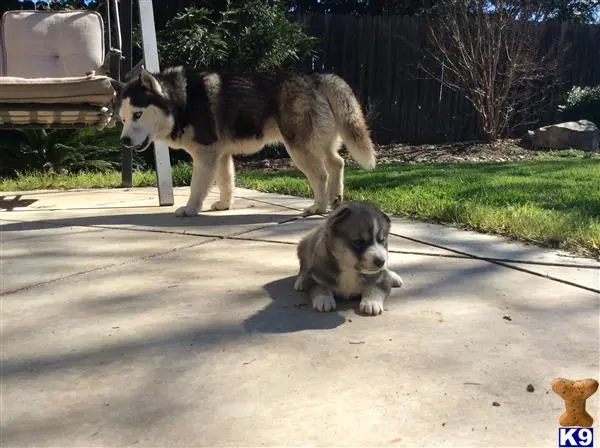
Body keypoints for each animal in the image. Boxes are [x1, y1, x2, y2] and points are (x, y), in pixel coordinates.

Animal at [113, 67, 376, 219]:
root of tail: (319, 77)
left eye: (138, 114)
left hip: (298, 148)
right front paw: (224, 204)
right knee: (337, 163)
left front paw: (190, 209)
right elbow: (226, 182)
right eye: (123, 119)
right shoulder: (220, 155)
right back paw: (335, 200)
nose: (124, 141)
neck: (182, 101)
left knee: (321, 174)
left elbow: (197, 187)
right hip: (319, 143)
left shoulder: (205, 155)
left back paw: (319, 207)